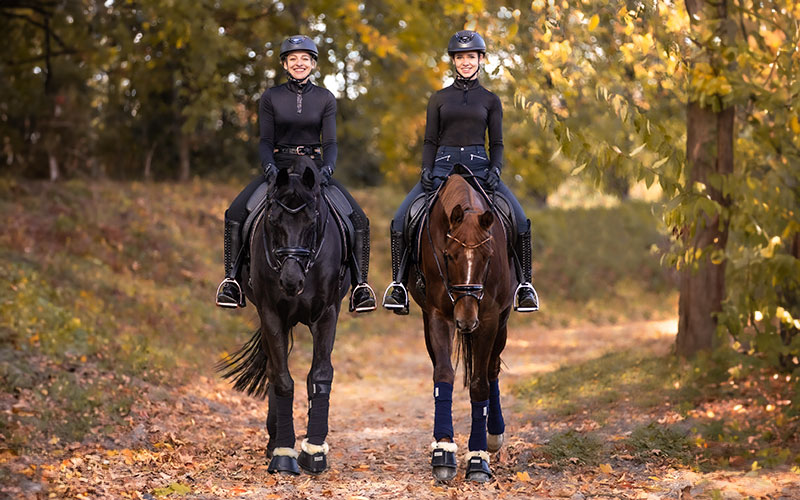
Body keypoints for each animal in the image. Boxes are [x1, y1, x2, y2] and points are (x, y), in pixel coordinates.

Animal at [222, 157, 354, 476]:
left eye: (312, 221)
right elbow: (281, 378)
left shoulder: (327, 314)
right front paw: (283, 453)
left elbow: (320, 375)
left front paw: (314, 451)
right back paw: (274, 441)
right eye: (273, 221)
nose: (291, 281)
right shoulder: (271, 314)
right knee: (272, 370)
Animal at [410, 172, 516, 480]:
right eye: (448, 255)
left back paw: (494, 436)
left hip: (501, 324)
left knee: (492, 369)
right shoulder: (437, 315)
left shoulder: (490, 318)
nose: (466, 319)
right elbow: (443, 374)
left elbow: (480, 384)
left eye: (488, 256)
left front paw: (478, 458)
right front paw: (443, 451)